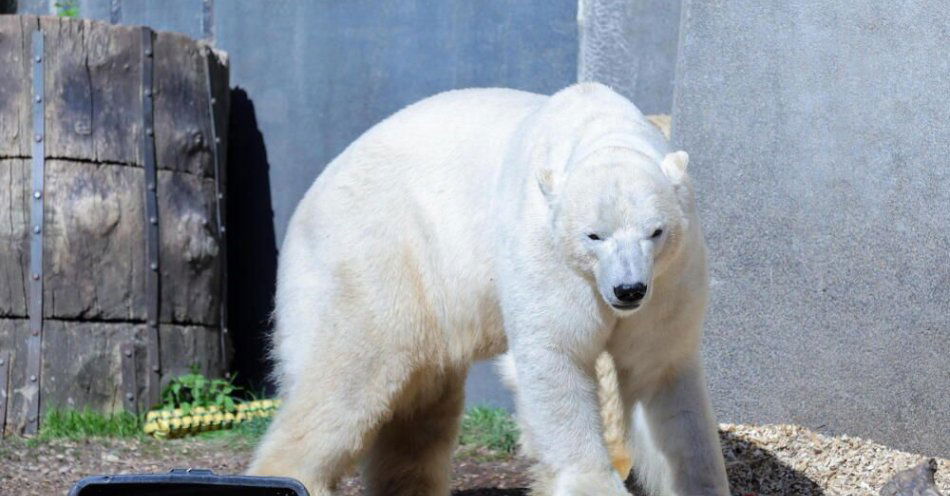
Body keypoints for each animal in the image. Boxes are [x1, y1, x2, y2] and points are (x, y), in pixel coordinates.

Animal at [247, 82, 728, 496]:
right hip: (380, 251)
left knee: (423, 406)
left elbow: (660, 373)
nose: (628, 289)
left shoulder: (670, 280)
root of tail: (310, 196)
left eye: (656, 231)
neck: (600, 124)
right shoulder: (546, 256)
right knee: (350, 375)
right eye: (594, 235)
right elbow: (555, 357)